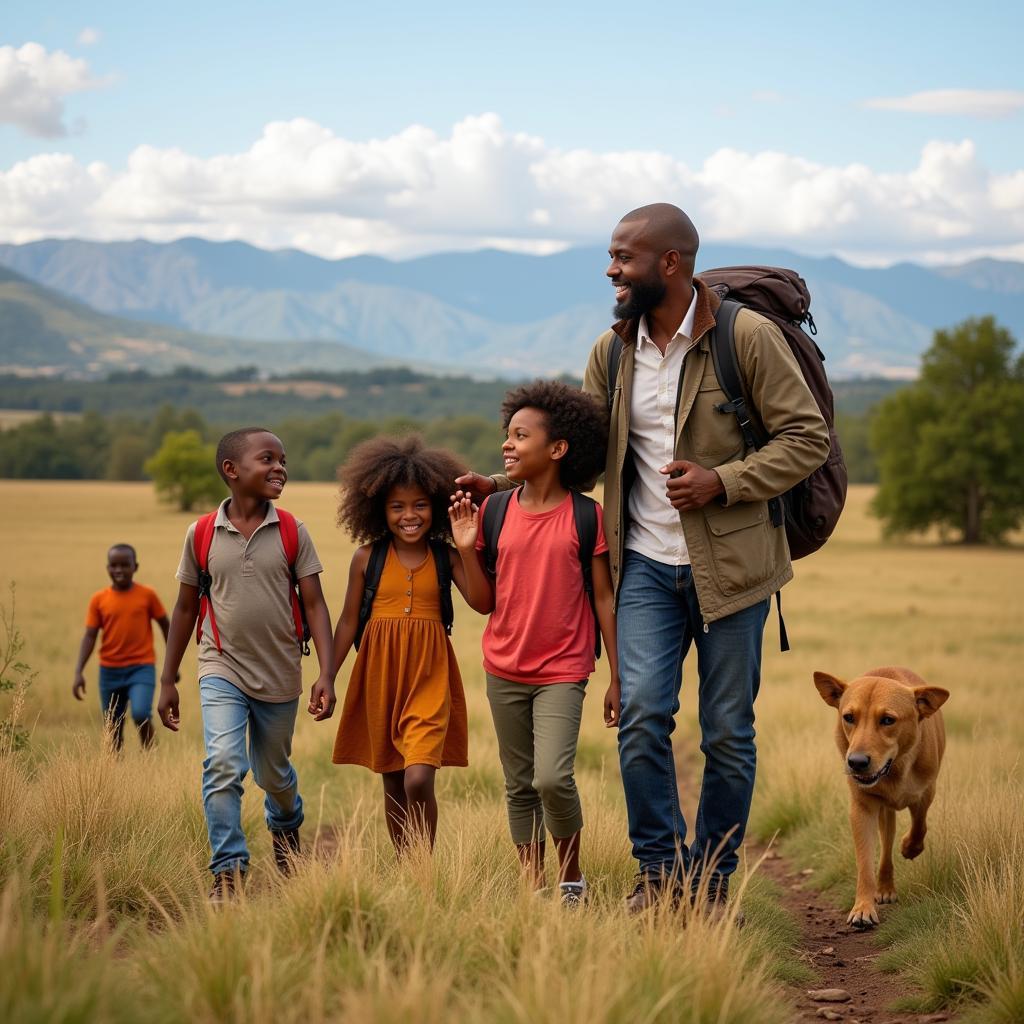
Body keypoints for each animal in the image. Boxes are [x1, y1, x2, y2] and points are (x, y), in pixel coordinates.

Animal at [815, 663, 950, 929]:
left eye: (888, 720)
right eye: (849, 717)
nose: (856, 762)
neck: (894, 769)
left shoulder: (925, 792)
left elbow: (920, 825)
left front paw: (910, 847)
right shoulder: (862, 807)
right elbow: (865, 863)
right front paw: (863, 908)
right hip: (885, 815)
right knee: (886, 850)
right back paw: (885, 886)